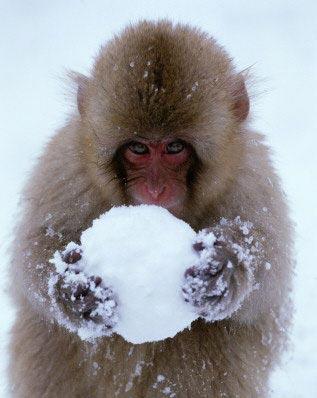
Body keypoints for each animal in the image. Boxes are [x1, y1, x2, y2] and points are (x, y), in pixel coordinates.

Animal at [8, 21, 292, 398]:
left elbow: (270, 279)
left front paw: (225, 268)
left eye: (174, 147)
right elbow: (33, 253)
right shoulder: (65, 166)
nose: (155, 188)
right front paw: (73, 291)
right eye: (139, 148)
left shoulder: (252, 178)